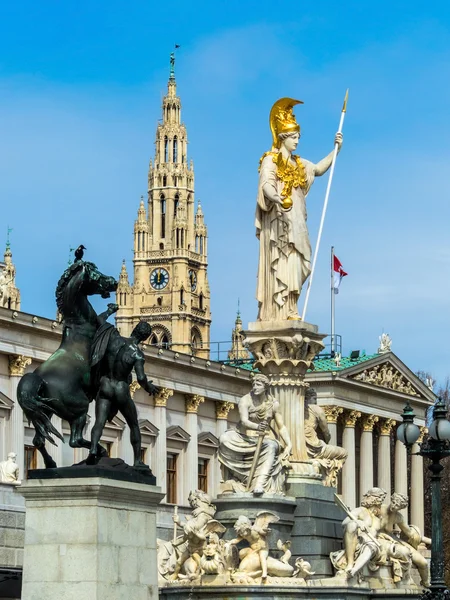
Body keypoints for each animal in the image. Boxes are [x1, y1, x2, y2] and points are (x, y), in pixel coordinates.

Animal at [17, 260, 117, 466]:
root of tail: (39, 379)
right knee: (74, 440)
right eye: (95, 273)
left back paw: (51, 464)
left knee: (39, 440)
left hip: (45, 412)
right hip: (79, 410)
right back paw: (98, 451)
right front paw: (112, 308)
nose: (114, 282)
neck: (79, 324)